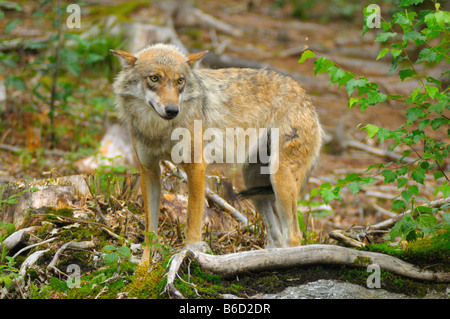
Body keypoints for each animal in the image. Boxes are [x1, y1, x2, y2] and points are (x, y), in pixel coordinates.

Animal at [110, 43, 322, 264]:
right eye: (154, 78)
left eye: (180, 81)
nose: (172, 110)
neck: (159, 130)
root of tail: (305, 95)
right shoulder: (149, 169)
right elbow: (150, 231)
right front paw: (144, 269)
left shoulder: (196, 167)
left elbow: (192, 225)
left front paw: (189, 256)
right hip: (254, 183)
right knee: (277, 238)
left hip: (279, 180)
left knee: (294, 236)